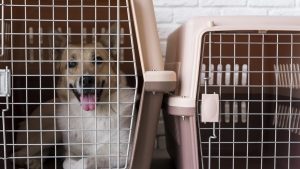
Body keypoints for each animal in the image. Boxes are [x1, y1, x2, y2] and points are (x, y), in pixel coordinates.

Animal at [14, 25, 136, 168]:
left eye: (97, 60)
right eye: (71, 64)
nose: (87, 80)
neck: (91, 115)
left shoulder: (123, 151)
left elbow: (86, 160)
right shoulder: (71, 150)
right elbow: (68, 162)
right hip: (50, 133)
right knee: (18, 154)